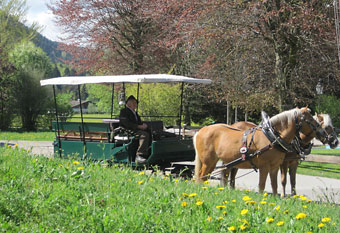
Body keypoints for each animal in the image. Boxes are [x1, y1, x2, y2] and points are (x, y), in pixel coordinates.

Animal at [193, 107, 326, 195]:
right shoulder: (264, 166)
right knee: (201, 177)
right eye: (310, 120)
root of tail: (201, 130)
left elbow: (274, 185)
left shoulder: (274, 167)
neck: (272, 137)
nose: (324, 133)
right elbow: (262, 186)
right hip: (208, 162)